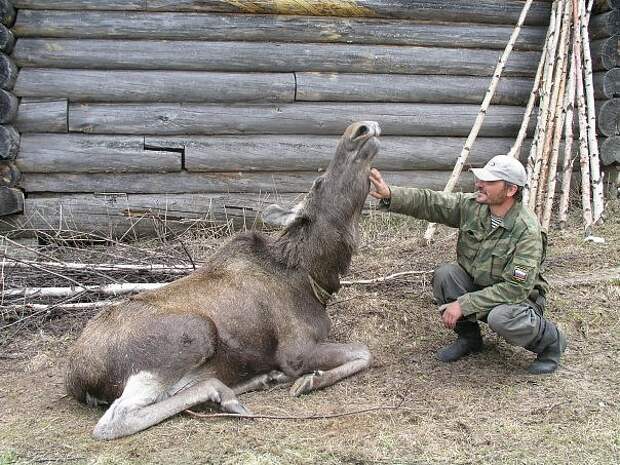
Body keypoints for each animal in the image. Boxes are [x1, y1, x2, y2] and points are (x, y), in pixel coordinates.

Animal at [65, 119, 380, 438]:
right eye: (319, 182)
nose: (361, 128)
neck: (314, 278)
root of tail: (77, 378)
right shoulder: (295, 351)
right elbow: (365, 352)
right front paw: (309, 380)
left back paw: (258, 380)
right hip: (193, 334)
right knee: (116, 419)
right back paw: (225, 394)